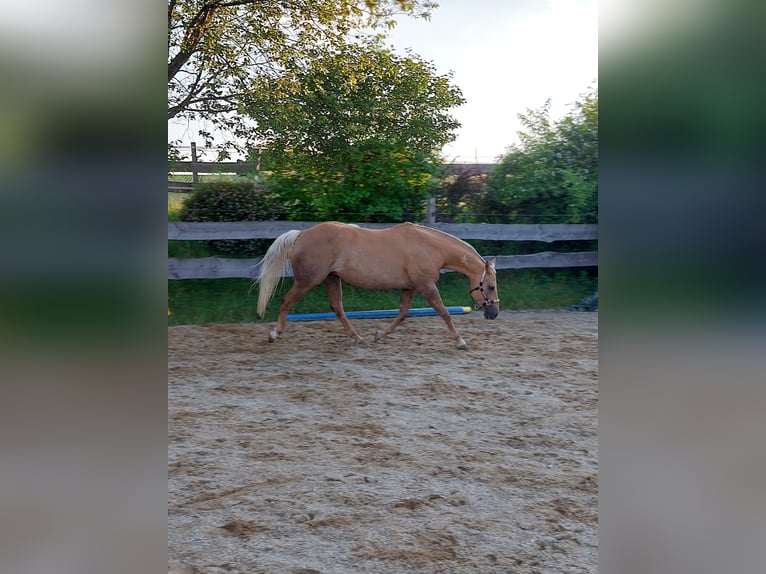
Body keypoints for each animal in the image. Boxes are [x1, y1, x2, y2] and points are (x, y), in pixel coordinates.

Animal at [255, 221, 499, 350]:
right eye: (490, 286)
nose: (494, 313)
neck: (430, 247)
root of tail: (302, 234)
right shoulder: (426, 285)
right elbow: (444, 312)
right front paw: (461, 341)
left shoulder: (410, 287)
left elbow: (402, 314)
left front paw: (378, 335)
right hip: (308, 280)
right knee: (287, 301)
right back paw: (274, 334)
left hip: (332, 278)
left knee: (337, 307)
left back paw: (358, 337)